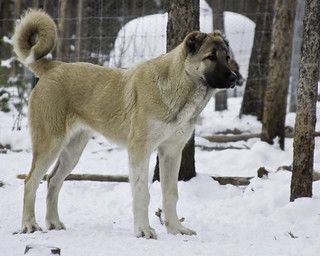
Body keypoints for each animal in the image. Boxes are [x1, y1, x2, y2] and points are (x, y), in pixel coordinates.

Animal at [13, 9, 241, 239]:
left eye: (227, 57)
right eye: (210, 57)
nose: (234, 78)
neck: (179, 87)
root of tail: (54, 66)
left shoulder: (171, 152)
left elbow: (171, 193)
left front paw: (176, 229)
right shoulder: (140, 149)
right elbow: (142, 193)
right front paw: (143, 230)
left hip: (73, 150)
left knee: (53, 181)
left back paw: (54, 222)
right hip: (49, 144)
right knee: (30, 182)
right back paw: (29, 225)